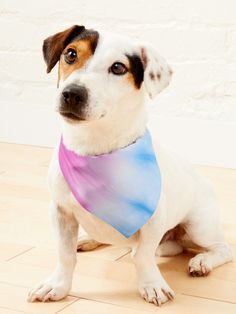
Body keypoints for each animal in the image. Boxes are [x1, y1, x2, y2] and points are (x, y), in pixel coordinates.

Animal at [27, 25, 232, 306]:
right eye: (70, 54)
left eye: (118, 68)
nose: (72, 94)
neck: (95, 148)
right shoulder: (61, 212)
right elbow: (65, 254)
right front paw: (57, 285)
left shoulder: (153, 219)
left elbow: (143, 256)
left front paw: (151, 284)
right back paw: (88, 239)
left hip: (199, 226)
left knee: (222, 249)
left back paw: (202, 261)